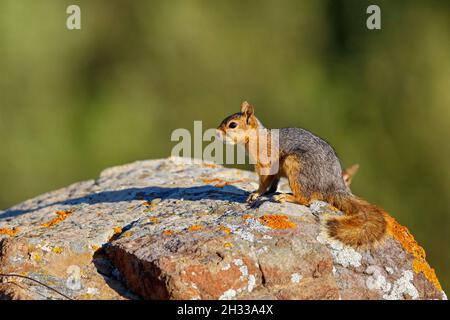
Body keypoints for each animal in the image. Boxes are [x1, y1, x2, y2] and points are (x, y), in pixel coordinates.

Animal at [216, 101, 388, 249]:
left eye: (232, 125)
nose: (216, 133)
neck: (256, 138)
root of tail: (334, 185)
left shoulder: (266, 163)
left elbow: (264, 181)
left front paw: (256, 194)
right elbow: (274, 181)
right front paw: (269, 191)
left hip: (296, 166)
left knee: (306, 199)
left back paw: (286, 197)